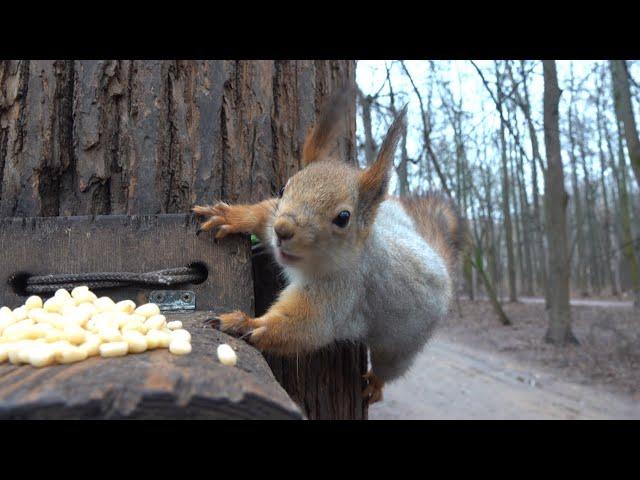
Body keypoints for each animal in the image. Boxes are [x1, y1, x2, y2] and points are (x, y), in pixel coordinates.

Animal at [192, 87, 468, 404]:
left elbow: (303, 327)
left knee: (390, 365)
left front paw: (245, 324)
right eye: (283, 189)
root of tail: (436, 258)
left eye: (343, 217)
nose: (282, 230)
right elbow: (262, 215)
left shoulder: (343, 292)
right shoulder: (273, 215)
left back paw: (376, 383)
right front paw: (234, 217)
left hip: (404, 344)